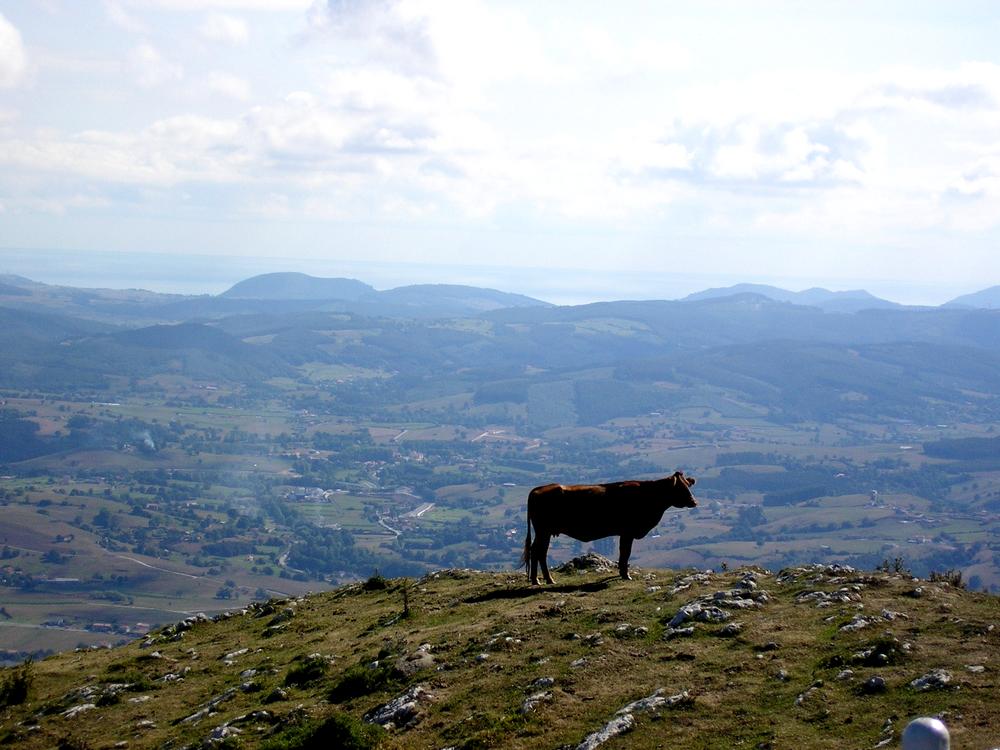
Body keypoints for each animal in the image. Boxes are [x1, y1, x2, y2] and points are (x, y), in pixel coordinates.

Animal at [524, 472, 696, 584]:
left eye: (688, 485)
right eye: (680, 488)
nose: (694, 502)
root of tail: (538, 489)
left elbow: (623, 553)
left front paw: (622, 573)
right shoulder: (627, 532)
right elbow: (625, 553)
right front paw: (626, 575)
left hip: (544, 532)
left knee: (538, 551)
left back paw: (541, 579)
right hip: (543, 531)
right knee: (538, 551)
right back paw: (542, 580)